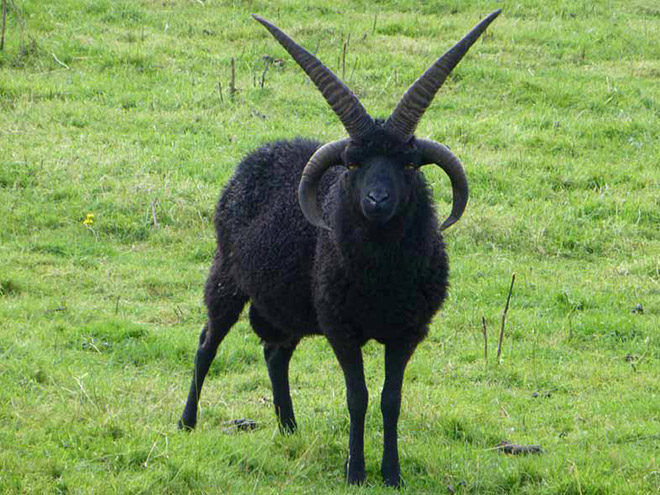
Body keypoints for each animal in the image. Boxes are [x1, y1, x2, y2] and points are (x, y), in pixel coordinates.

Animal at [179, 10, 501, 487]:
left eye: (408, 164)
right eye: (353, 164)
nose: (377, 200)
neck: (383, 277)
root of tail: (259, 154)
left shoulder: (407, 332)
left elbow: (390, 400)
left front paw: (392, 474)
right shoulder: (340, 329)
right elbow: (358, 397)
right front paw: (355, 472)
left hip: (289, 303)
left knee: (275, 352)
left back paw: (289, 427)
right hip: (227, 278)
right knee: (207, 344)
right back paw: (186, 422)